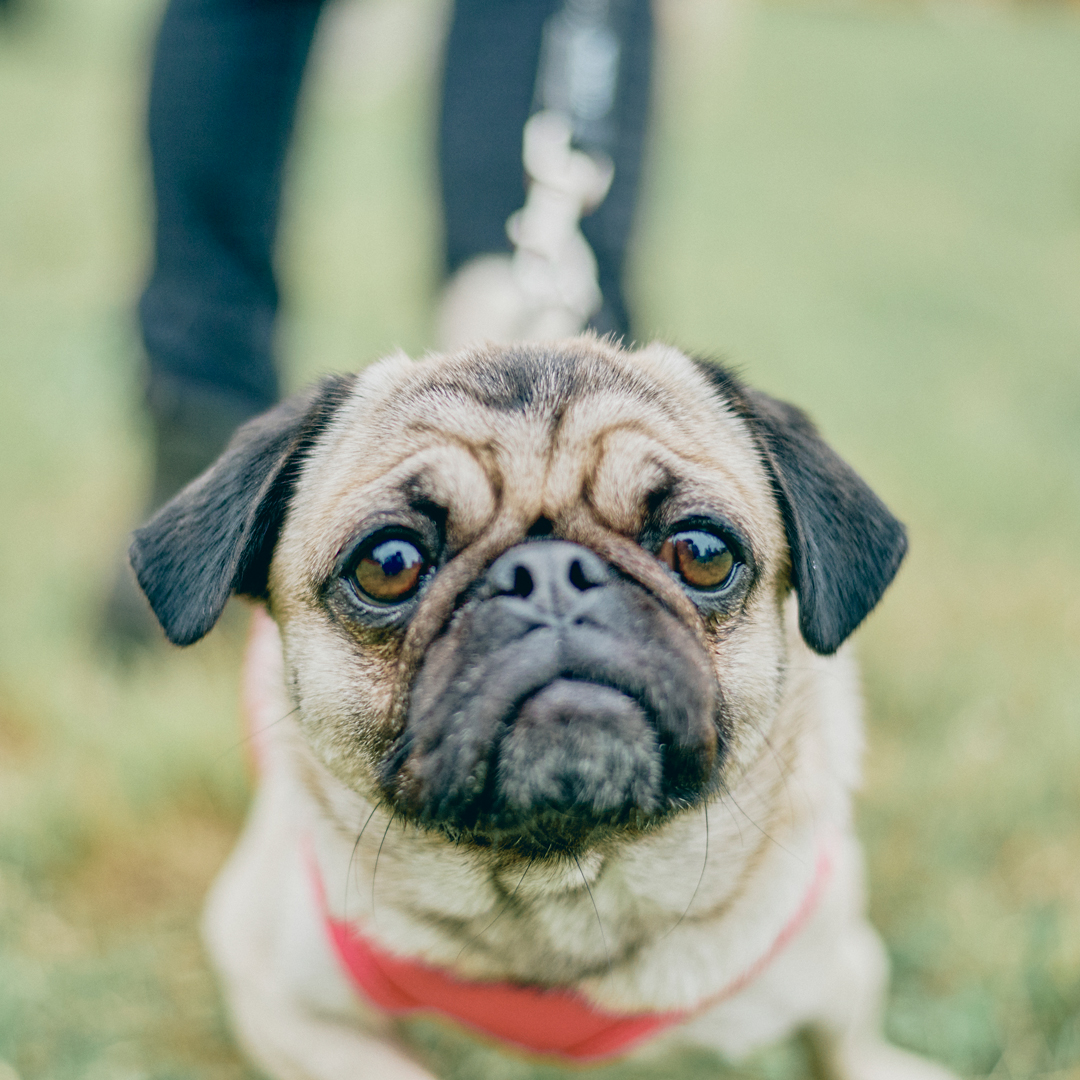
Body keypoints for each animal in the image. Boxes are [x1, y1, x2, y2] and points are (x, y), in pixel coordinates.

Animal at [128, 336, 954, 1080]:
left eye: (702, 552)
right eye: (388, 564)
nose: (550, 573)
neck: (561, 886)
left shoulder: (837, 962)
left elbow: (846, 1042)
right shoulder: (277, 1001)